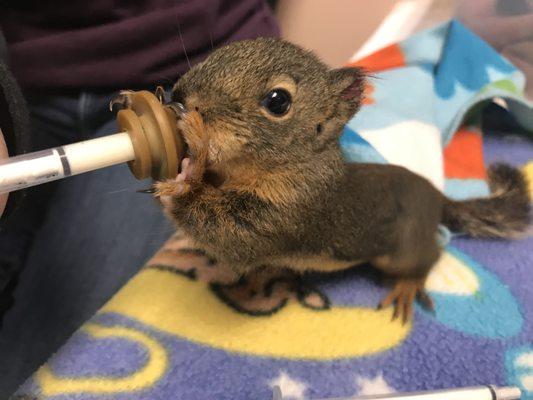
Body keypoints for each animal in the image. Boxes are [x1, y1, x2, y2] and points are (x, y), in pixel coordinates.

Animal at [150, 37, 528, 324]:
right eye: (218, 52)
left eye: (278, 101)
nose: (179, 97)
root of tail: (436, 196)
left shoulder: (292, 210)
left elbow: (229, 233)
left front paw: (185, 172)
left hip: (403, 247)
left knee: (430, 255)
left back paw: (407, 285)